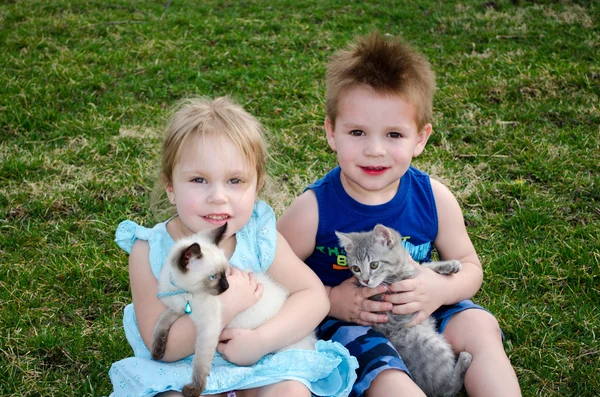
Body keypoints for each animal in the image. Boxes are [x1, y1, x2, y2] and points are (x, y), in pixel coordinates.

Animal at [152, 223, 316, 396]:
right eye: (213, 277)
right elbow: (161, 322)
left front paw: (194, 389)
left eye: (225, 273)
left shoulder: (208, 326)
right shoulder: (177, 310)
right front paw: (157, 352)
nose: (227, 287)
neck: (182, 292)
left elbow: (200, 362)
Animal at [336, 223, 472, 396]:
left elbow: (424, 267)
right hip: (431, 345)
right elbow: (420, 270)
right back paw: (464, 361)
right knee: (446, 389)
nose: (365, 281)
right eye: (356, 268)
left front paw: (448, 265)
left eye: (374, 264)